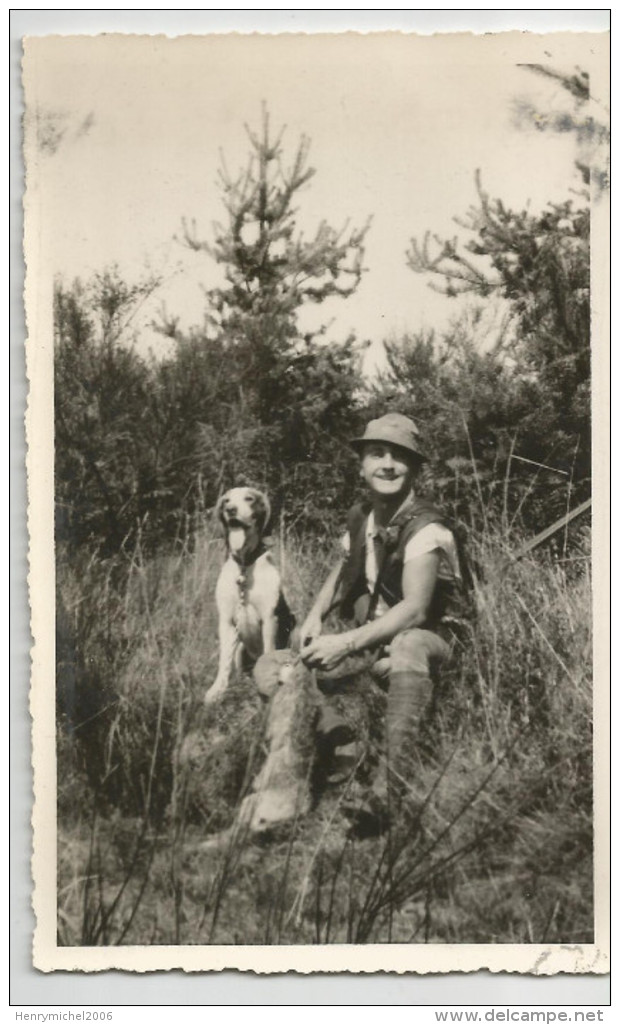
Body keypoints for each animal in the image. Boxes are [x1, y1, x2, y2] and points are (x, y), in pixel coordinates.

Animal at [203, 487, 297, 705]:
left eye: (249, 498)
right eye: (226, 500)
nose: (231, 510)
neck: (245, 567)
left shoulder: (270, 619)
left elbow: (269, 651)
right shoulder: (227, 621)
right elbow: (224, 662)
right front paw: (217, 691)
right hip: (240, 647)